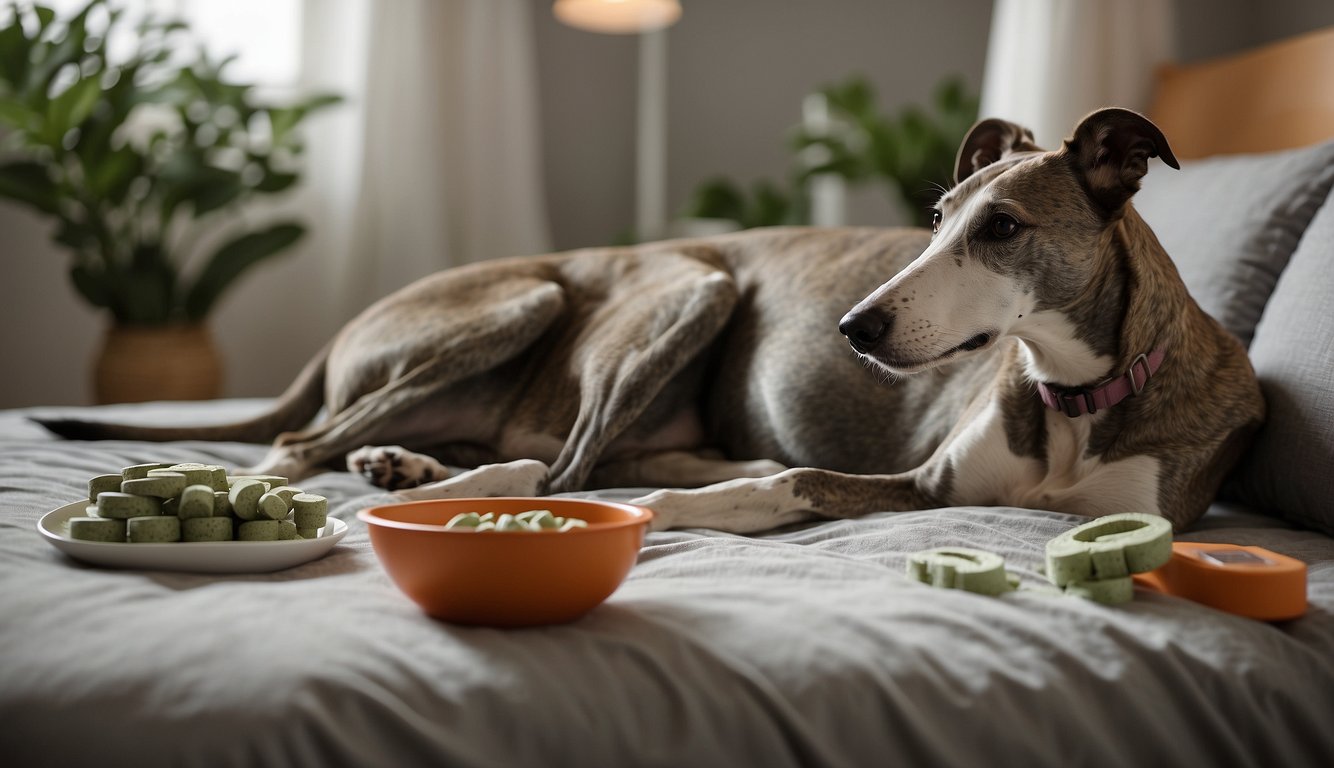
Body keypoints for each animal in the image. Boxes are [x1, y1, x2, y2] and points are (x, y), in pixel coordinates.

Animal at [41, 109, 1259, 533]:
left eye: (1000, 227)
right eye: (934, 219)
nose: (855, 329)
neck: (1076, 395)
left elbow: (767, 481)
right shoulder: (925, 484)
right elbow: (779, 483)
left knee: (565, 461)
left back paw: (410, 470)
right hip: (656, 289)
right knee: (538, 463)